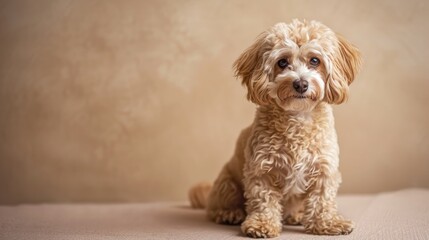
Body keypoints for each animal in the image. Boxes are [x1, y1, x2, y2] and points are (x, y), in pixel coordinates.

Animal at [189, 19, 360, 238]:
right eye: (282, 62)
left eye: (315, 60)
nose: (300, 84)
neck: (297, 117)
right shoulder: (261, 170)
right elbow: (264, 200)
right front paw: (262, 225)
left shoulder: (324, 168)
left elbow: (323, 199)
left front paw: (328, 223)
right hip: (227, 184)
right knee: (217, 207)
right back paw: (229, 213)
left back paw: (296, 216)